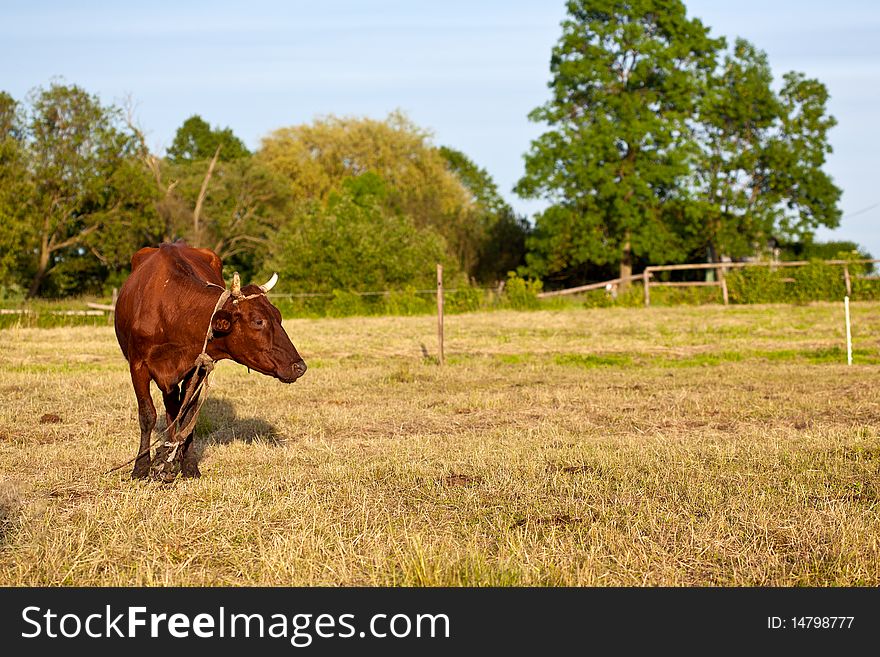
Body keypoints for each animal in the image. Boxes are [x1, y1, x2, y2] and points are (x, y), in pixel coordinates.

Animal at [114, 243, 306, 480]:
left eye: (278, 316)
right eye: (258, 321)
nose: (299, 366)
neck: (171, 311)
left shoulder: (198, 368)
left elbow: (188, 416)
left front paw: (188, 465)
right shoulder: (138, 366)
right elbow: (147, 415)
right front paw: (140, 468)